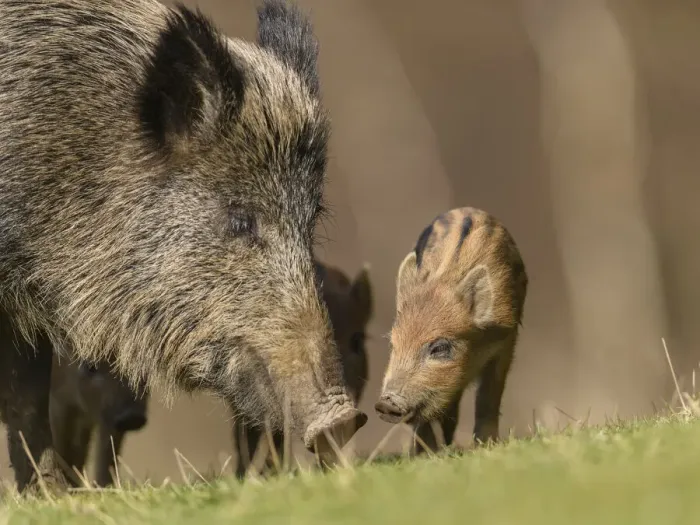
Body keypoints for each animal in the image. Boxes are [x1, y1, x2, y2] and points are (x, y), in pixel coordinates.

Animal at [375, 207, 527, 454]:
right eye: (392, 345)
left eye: (439, 348)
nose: (385, 402)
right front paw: (425, 455)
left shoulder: (507, 338)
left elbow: (488, 397)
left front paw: (486, 445)